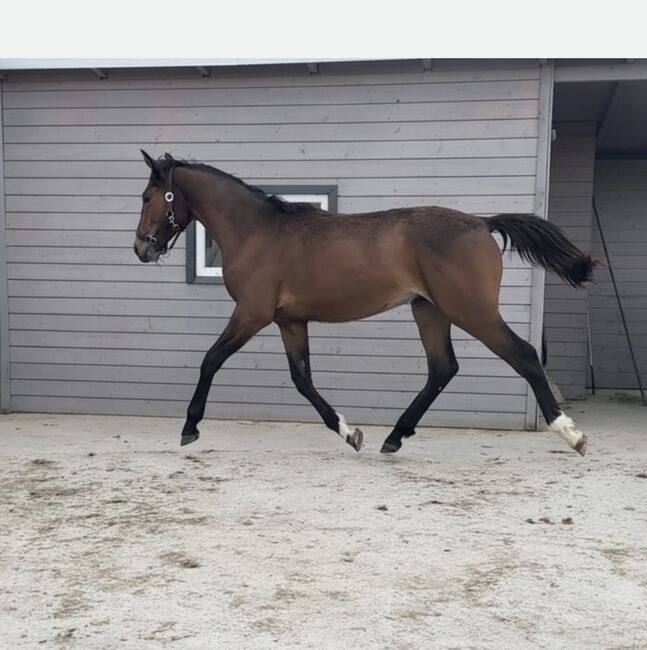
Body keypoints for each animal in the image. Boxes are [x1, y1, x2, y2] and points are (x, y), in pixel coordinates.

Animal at [134, 151, 594, 456]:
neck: (256, 231)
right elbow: (303, 380)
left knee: (525, 355)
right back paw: (394, 436)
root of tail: (482, 223)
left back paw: (571, 433)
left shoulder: (251, 314)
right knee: (442, 368)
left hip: (472, 312)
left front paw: (190, 426)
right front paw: (350, 433)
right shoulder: (289, 322)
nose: (141, 248)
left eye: (147, 197)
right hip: (429, 311)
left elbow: (210, 360)